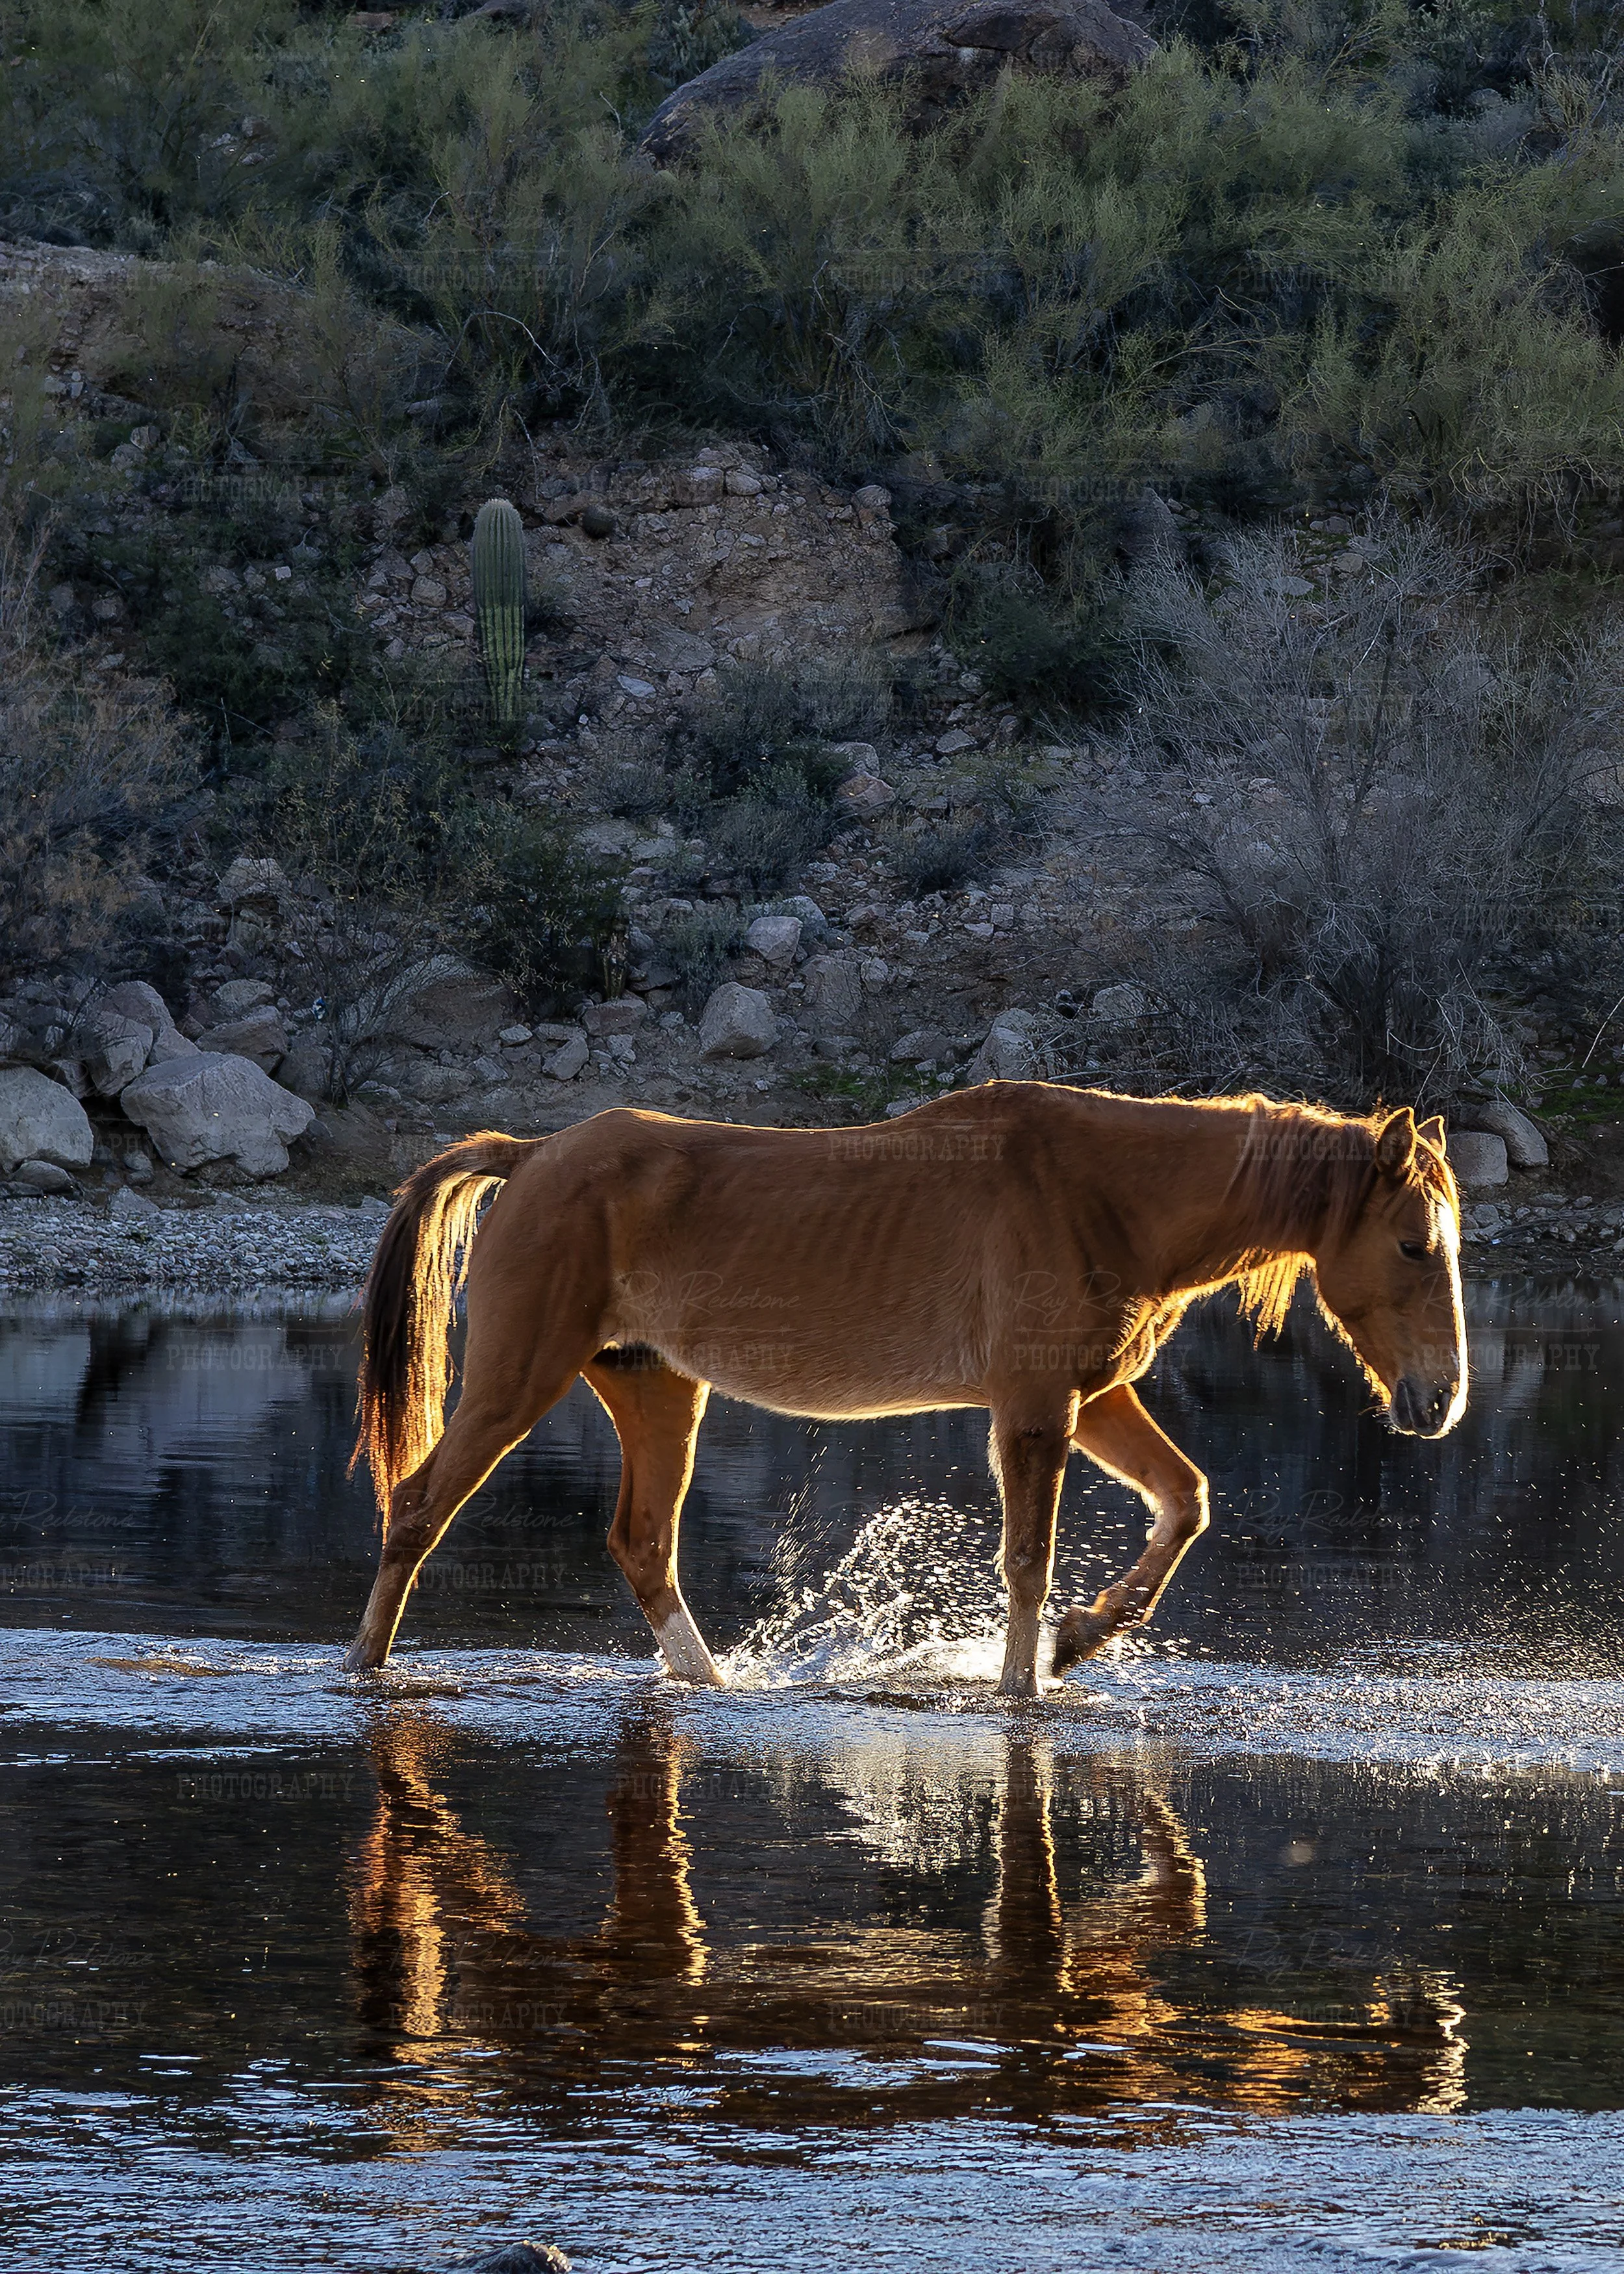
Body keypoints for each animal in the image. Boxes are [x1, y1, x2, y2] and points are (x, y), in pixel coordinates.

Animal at [343, 1083, 1466, 1696]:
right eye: (1415, 1244)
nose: (1441, 1401)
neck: (1102, 1194)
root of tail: (532, 1154)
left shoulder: (1094, 1400)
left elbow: (1184, 1502)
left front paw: (1081, 1639)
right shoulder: (1034, 1409)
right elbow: (1026, 1561)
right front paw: (1026, 1683)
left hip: (658, 1392)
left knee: (642, 1545)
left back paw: (714, 1683)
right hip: (514, 1378)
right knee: (419, 1508)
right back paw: (363, 1668)